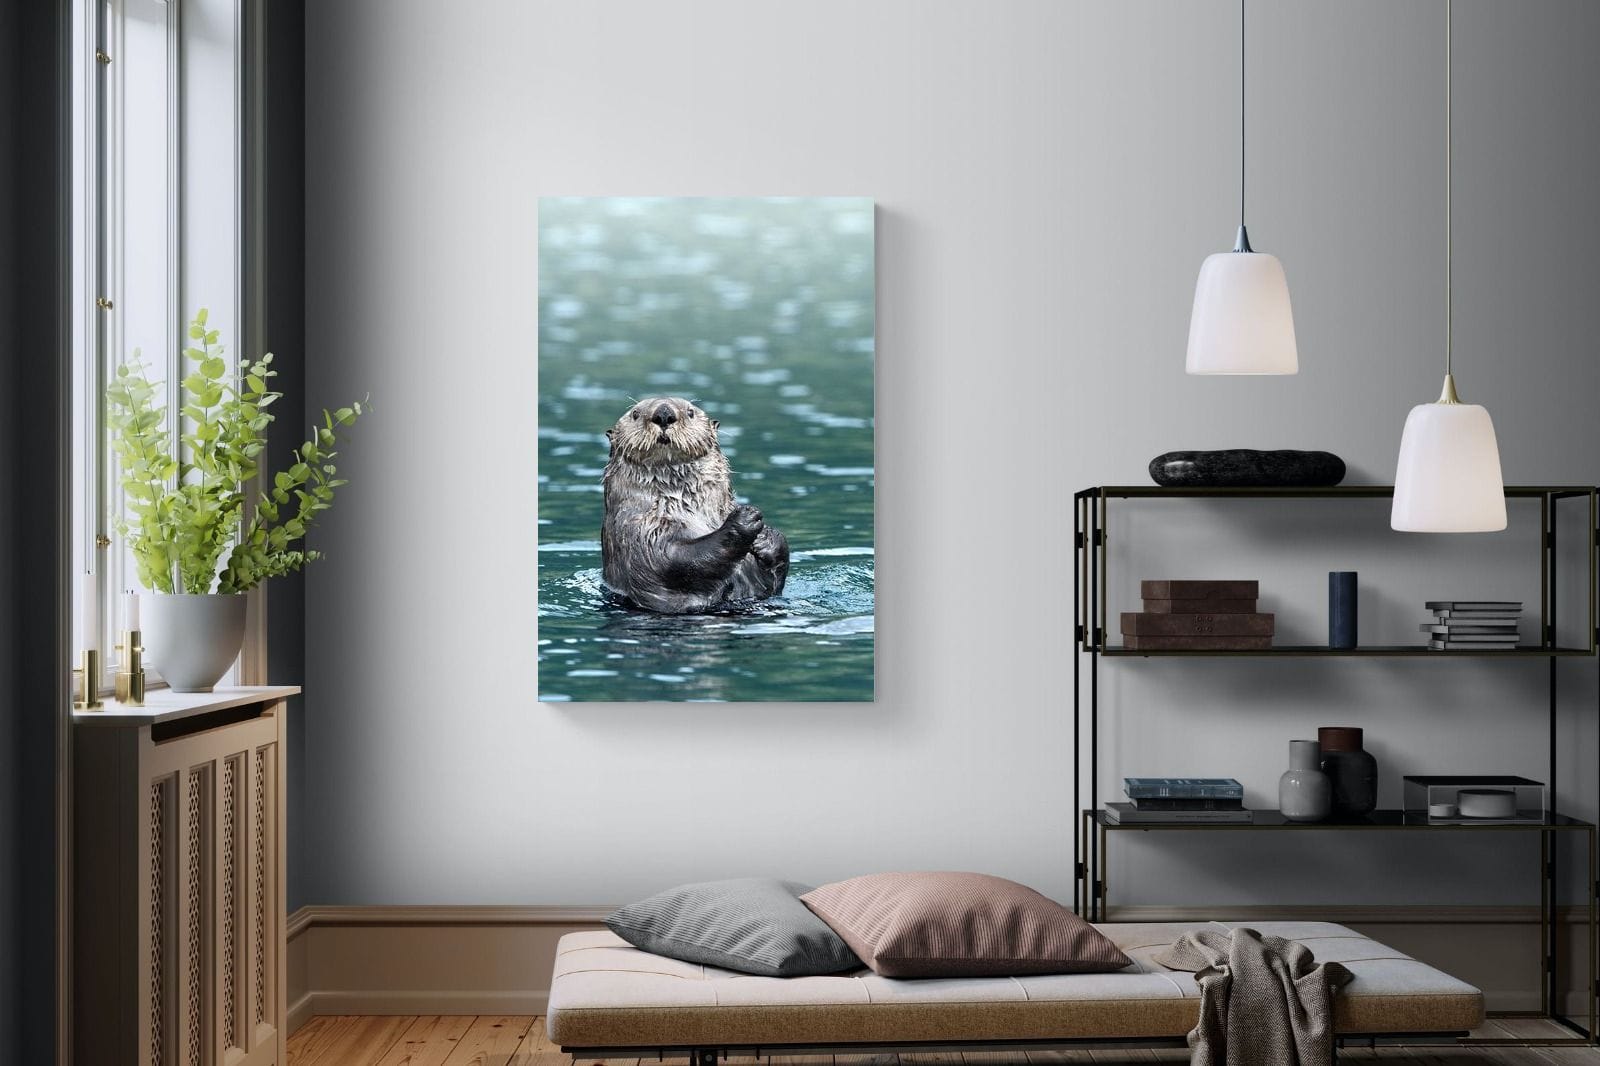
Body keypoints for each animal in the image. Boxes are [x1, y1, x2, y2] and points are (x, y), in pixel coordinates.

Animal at [601, 397, 789, 614]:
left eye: (690, 412)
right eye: (635, 414)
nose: (664, 413)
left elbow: (773, 584)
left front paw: (766, 537)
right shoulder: (636, 531)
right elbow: (672, 559)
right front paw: (744, 519)